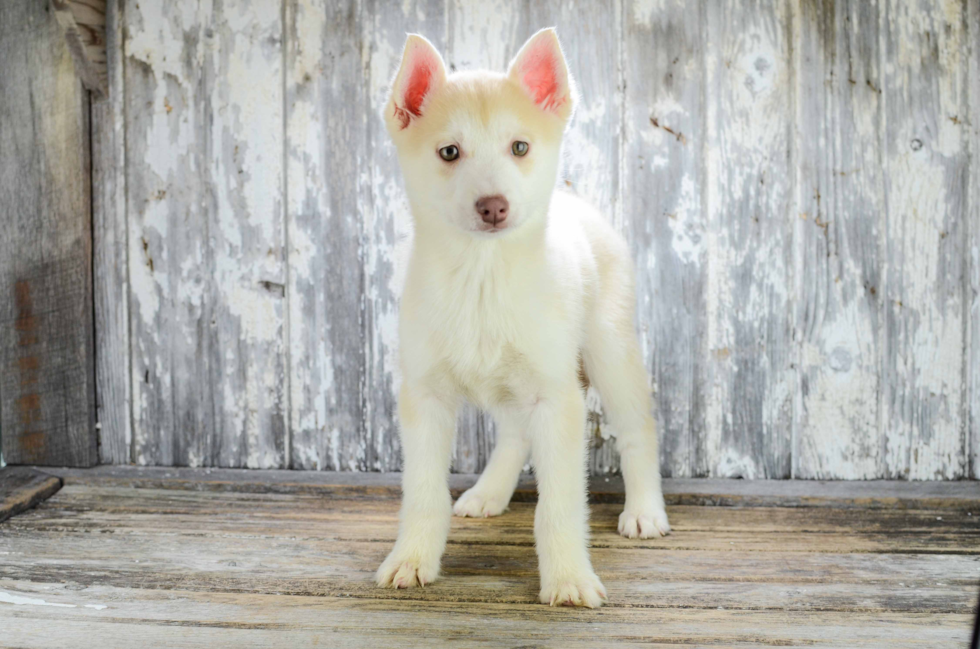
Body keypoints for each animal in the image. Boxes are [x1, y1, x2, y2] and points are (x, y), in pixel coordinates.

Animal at [378, 26, 672, 608]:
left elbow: (559, 505)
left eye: (519, 147)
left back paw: (645, 511)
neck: (482, 276)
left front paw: (568, 578)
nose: (493, 206)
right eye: (449, 152)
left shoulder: (558, 399)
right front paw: (412, 559)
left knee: (637, 428)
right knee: (514, 434)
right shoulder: (425, 397)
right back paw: (489, 491)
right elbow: (422, 493)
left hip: (610, 351)